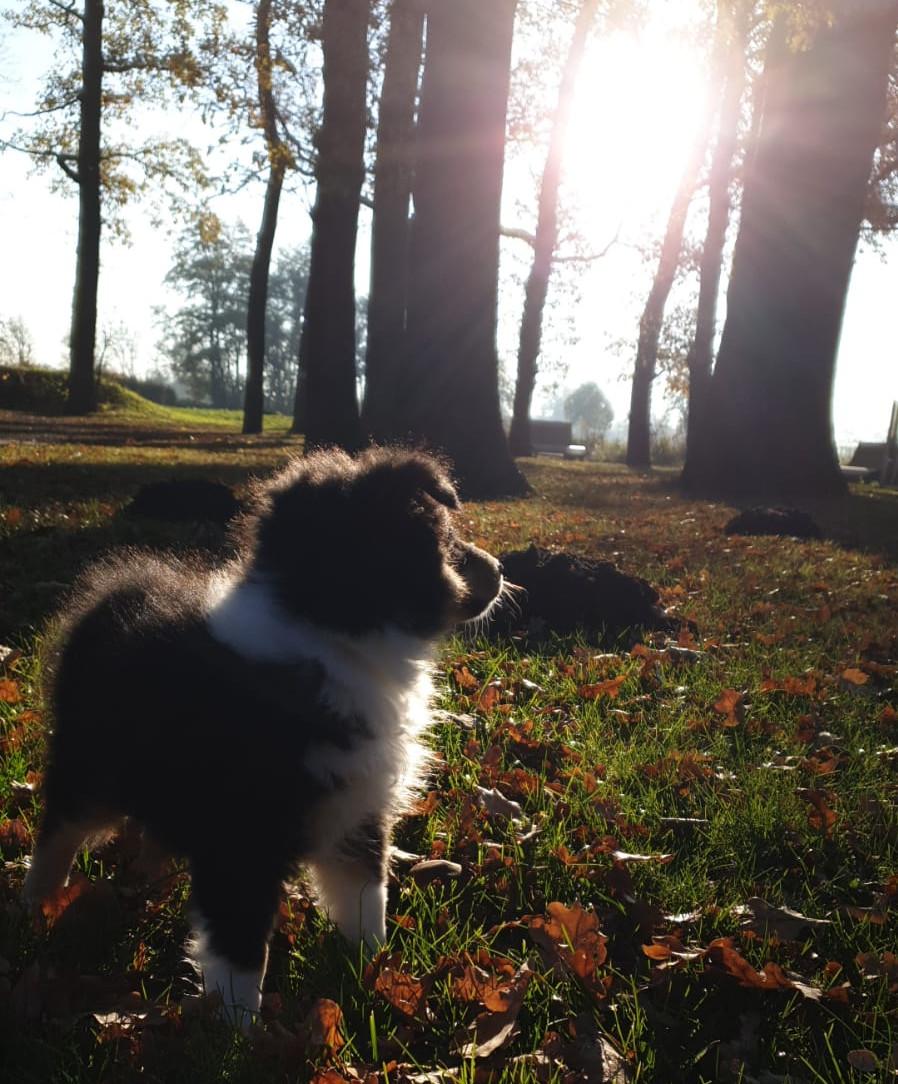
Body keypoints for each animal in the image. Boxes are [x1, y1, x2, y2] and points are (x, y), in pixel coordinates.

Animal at [24, 446, 505, 1023]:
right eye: (446, 536)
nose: (502, 570)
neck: (329, 635)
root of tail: (113, 595)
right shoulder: (242, 836)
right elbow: (241, 947)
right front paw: (237, 1029)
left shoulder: (357, 810)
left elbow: (366, 898)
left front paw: (373, 968)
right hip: (89, 767)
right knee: (58, 832)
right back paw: (36, 906)